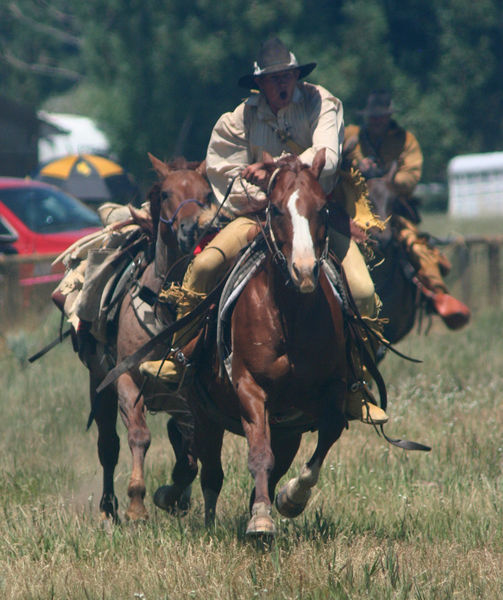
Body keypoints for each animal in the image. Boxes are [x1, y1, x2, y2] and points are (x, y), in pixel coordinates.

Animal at [86, 154, 211, 520]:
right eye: (167, 193)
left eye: (206, 194)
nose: (192, 229)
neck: (164, 307)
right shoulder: (126, 379)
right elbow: (139, 436)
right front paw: (136, 503)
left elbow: (189, 452)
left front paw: (170, 495)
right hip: (98, 383)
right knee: (108, 446)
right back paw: (108, 508)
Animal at [154, 149, 358, 536]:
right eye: (276, 208)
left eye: (323, 208)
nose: (304, 271)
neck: (290, 317)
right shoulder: (249, 387)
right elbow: (259, 454)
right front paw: (262, 519)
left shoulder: (332, 390)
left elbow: (328, 433)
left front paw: (290, 498)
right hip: (205, 414)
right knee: (210, 473)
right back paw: (204, 518)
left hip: (286, 429)